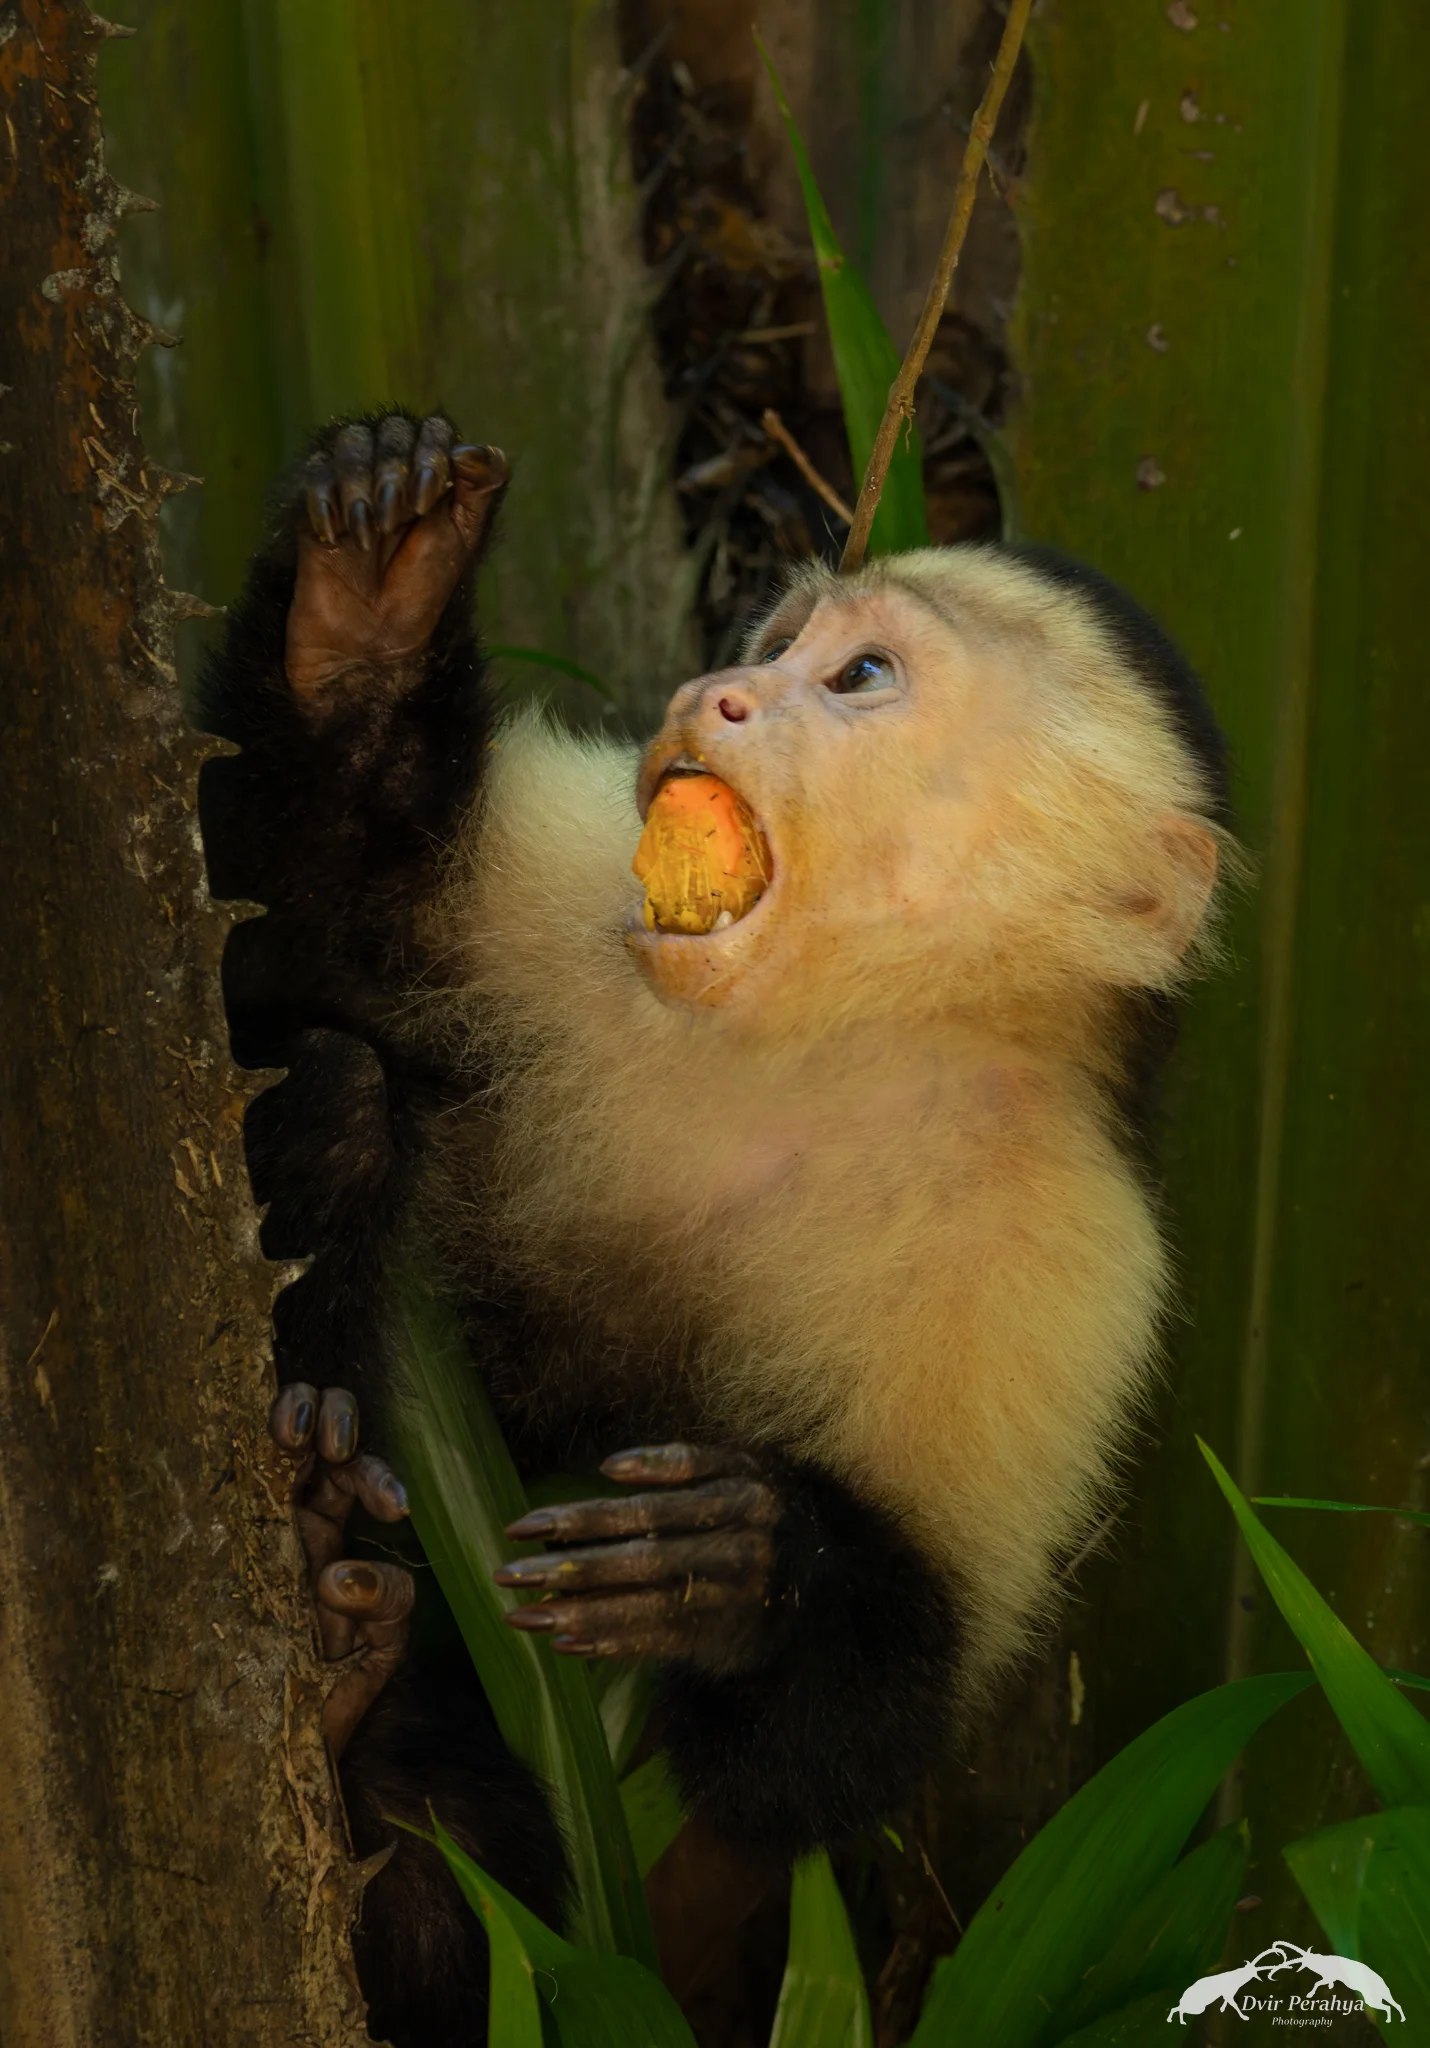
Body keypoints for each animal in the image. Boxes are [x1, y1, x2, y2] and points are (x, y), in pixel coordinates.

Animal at [197, 410, 1234, 2046]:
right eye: (775, 638)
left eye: (857, 675)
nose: (713, 693)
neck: (834, 1030)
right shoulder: (586, 894)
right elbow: (302, 940)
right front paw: (361, 607)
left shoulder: (1071, 1252)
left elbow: (840, 1742)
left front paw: (738, 1567)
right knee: (343, 1083)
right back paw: (315, 1527)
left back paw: (357, 1697)